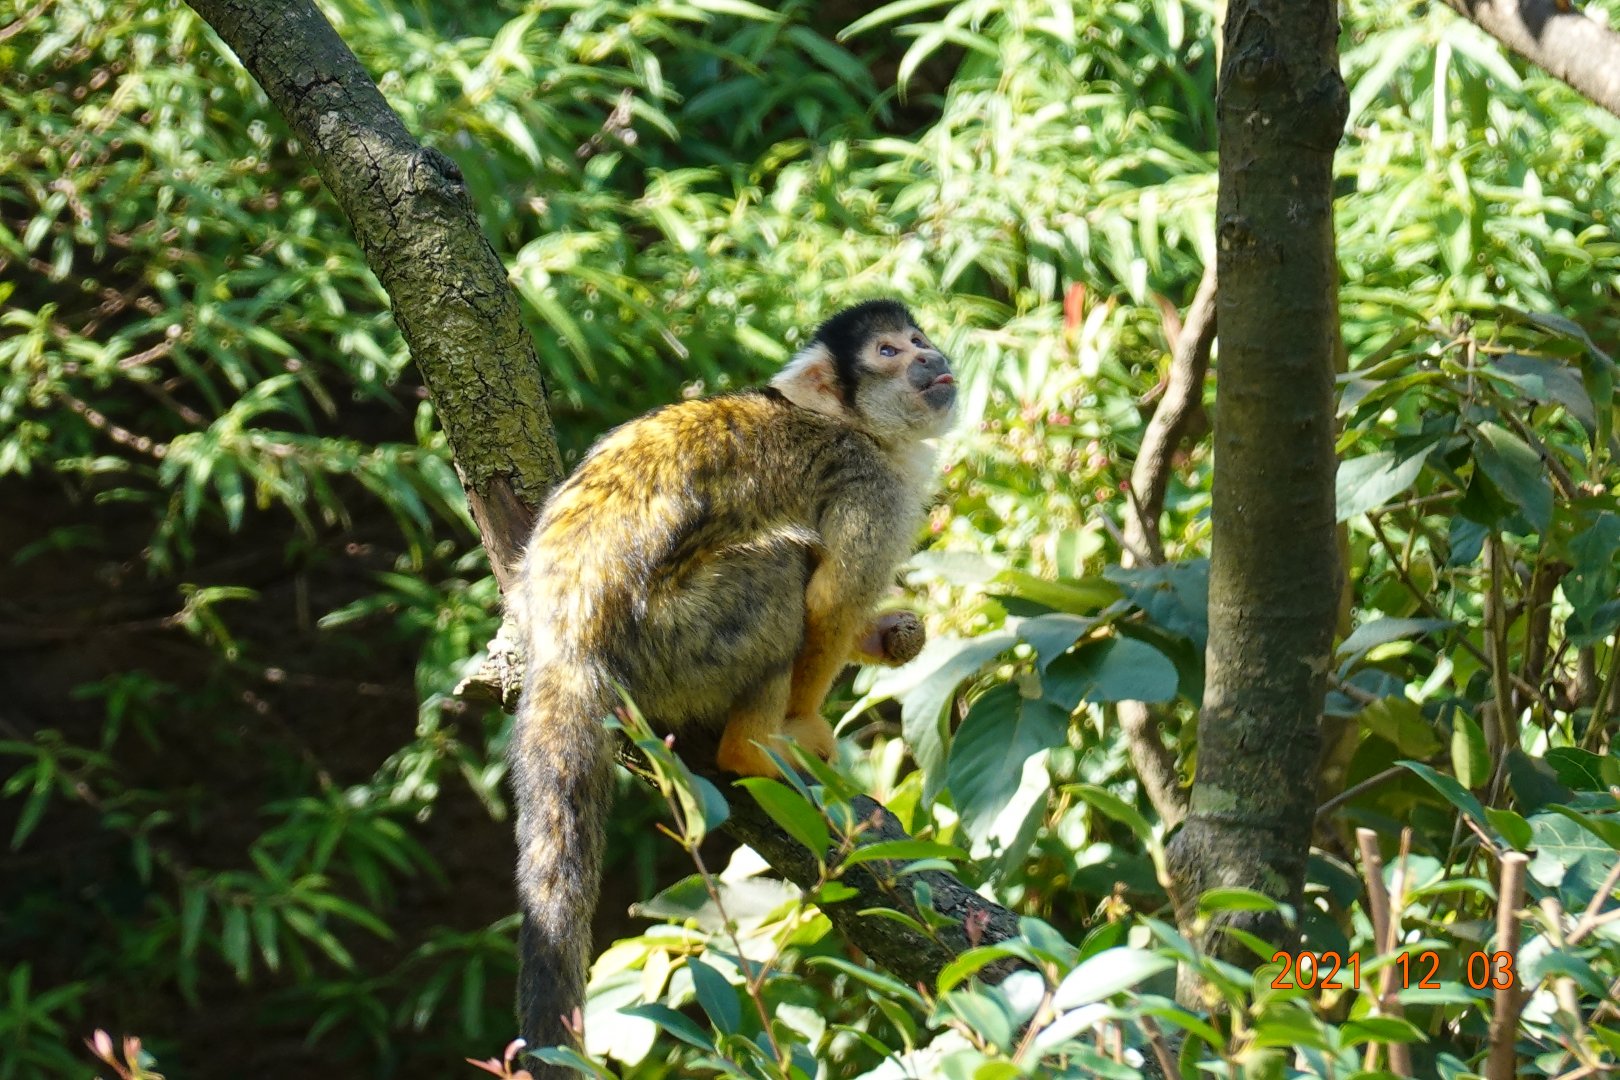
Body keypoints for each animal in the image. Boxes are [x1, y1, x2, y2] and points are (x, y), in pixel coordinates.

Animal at [505, 299, 956, 1069]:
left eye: (918, 340)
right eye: (890, 352)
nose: (932, 359)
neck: (857, 425)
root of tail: (569, 641)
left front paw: (888, 634)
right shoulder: (870, 485)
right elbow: (827, 601)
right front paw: (805, 719)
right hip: (673, 642)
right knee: (781, 566)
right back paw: (756, 749)